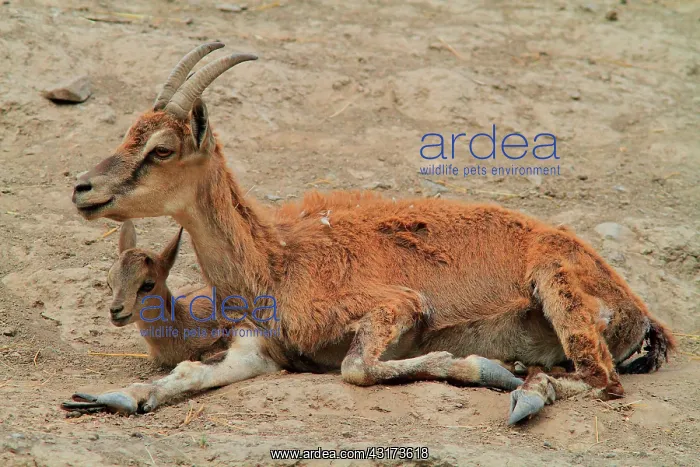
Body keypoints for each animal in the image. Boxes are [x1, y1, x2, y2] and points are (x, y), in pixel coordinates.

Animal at [66, 43, 675, 424]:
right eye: (129, 132)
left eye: (161, 149)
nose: (83, 189)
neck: (275, 261)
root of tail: (641, 314)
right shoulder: (261, 351)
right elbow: (186, 373)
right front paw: (104, 396)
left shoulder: (394, 306)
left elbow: (358, 368)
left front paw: (481, 367)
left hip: (559, 290)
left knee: (602, 382)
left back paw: (522, 386)